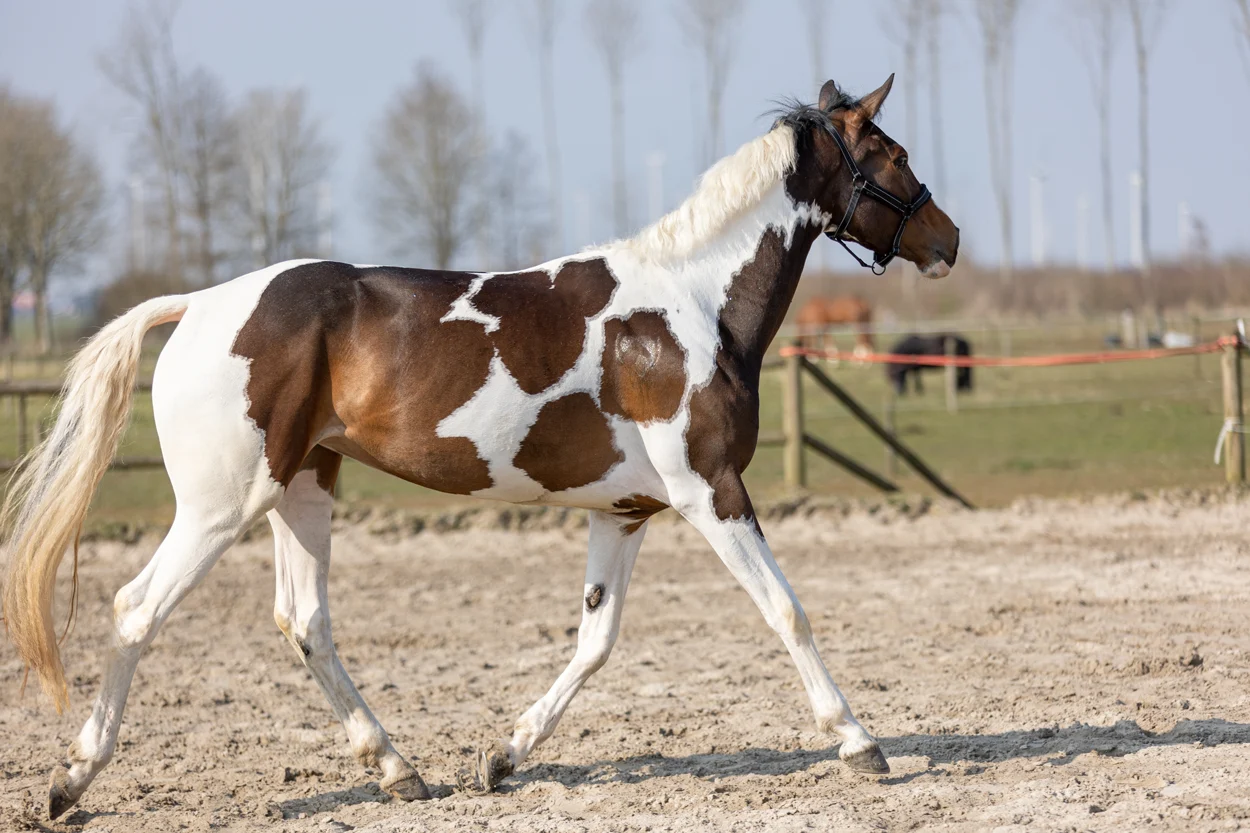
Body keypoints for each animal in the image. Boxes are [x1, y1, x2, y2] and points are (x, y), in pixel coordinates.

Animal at [1, 75, 958, 819]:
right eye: (894, 154)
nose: (947, 238)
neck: (689, 307)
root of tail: (197, 305)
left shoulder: (627, 510)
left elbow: (595, 640)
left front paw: (502, 756)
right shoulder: (710, 490)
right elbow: (786, 610)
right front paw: (860, 742)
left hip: (301, 488)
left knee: (305, 622)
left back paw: (399, 769)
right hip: (219, 505)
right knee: (137, 609)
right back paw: (71, 780)